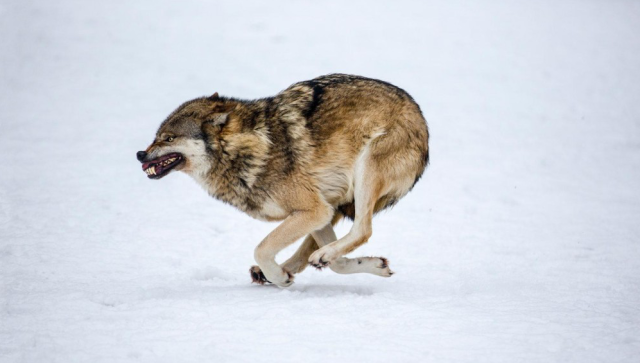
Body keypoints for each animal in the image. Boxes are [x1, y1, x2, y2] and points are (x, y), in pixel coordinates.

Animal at [138, 74, 432, 288]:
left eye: (168, 138)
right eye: (157, 136)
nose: (140, 154)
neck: (241, 150)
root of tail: (420, 115)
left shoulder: (314, 209)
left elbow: (262, 248)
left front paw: (279, 277)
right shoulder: (318, 212)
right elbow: (330, 262)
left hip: (364, 172)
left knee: (362, 230)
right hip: (337, 203)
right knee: (324, 254)